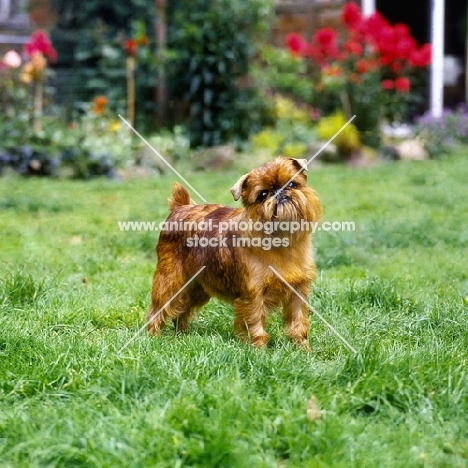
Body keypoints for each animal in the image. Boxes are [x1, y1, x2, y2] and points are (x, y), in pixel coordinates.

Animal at [147, 157, 322, 348]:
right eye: (262, 195)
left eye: (292, 184)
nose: (280, 192)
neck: (283, 240)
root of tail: (181, 207)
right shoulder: (253, 295)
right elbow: (255, 324)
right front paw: (259, 350)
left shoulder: (298, 292)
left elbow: (298, 322)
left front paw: (302, 348)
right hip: (169, 281)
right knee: (158, 309)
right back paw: (153, 337)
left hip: (197, 287)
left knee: (182, 310)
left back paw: (182, 335)